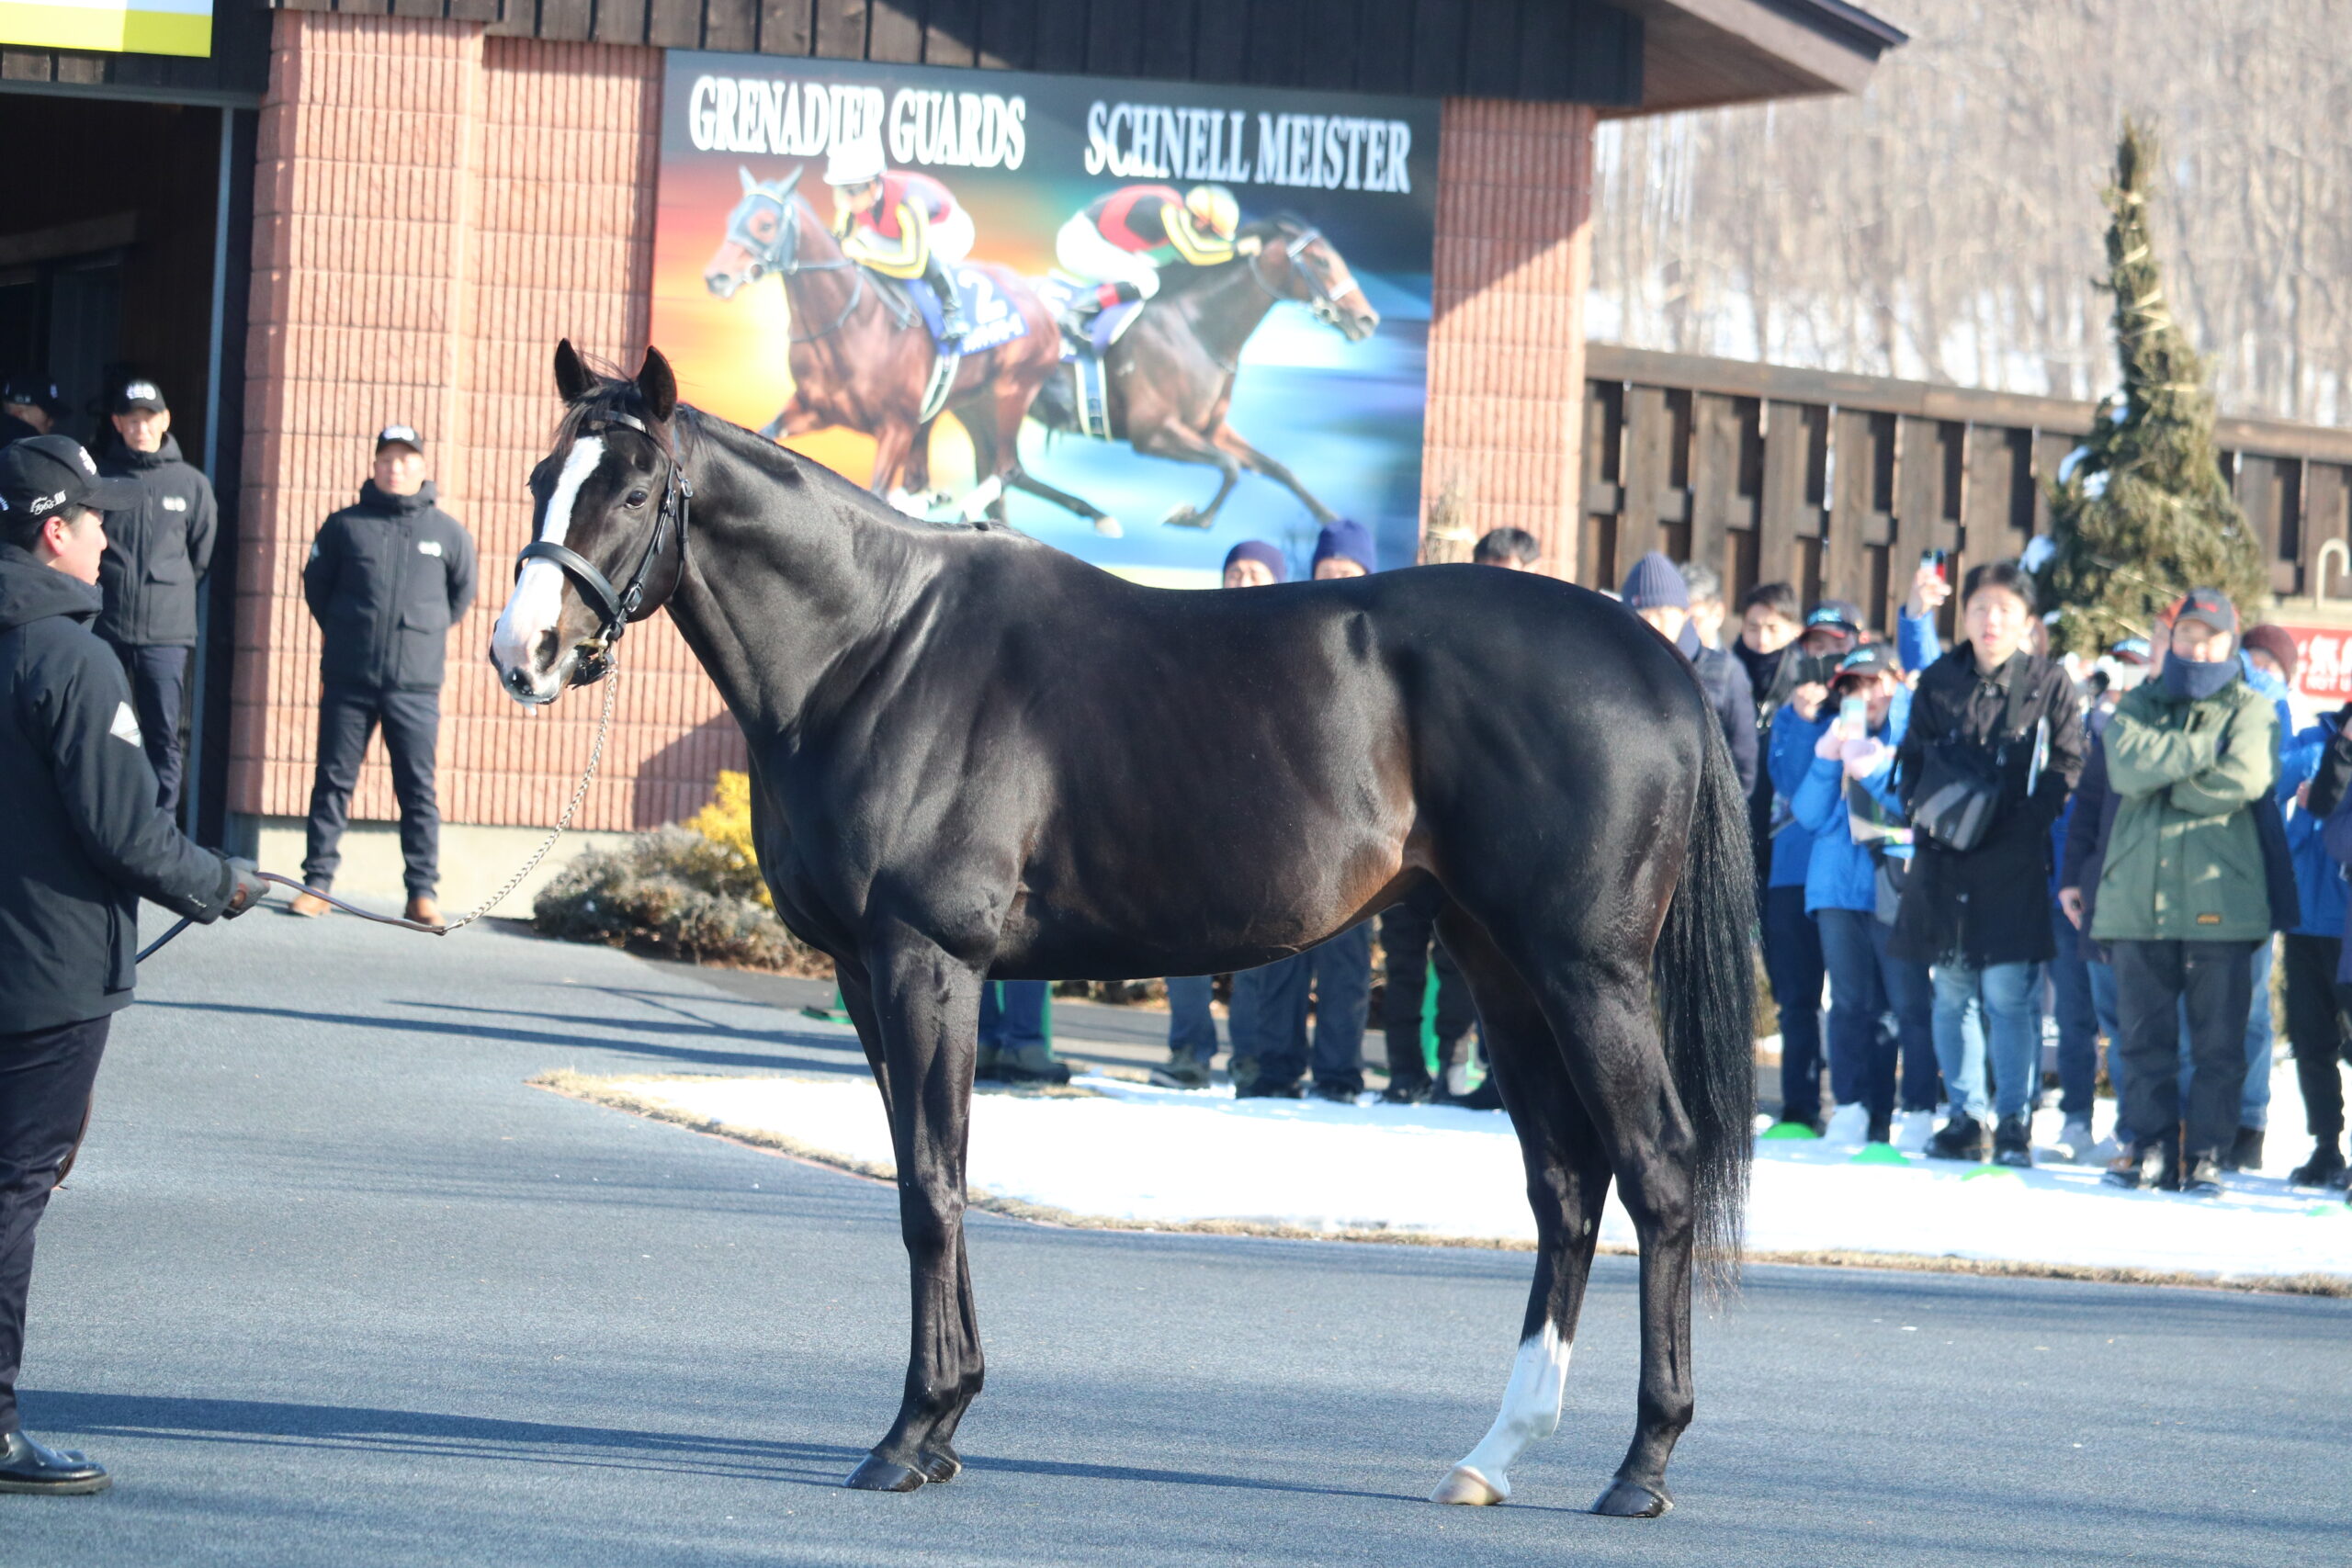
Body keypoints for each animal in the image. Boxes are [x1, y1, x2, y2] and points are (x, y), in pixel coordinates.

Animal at [489, 342, 1755, 1521]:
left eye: (636, 491)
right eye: (545, 477)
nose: (521, 654)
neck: (875, 652)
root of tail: (1657, 658)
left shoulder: (926, 962)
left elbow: (931, 1191)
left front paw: (909, 1434)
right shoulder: (861, 975)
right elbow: (926, 1173)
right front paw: (945, 1423)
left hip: (1585, 972)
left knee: (1656, 1169)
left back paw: (1641, 1465)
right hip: (1494, 964)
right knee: (1564, 1186)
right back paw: (1493, 1455)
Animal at [701, 168, 1070, 527]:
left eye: (765, 224)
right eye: (733, 217)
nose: (716, 277)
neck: (852, 326)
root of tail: (1042, 304)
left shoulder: (897, 428)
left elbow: (876, 493)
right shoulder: (812, 409)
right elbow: (765, 436)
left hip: (1012, 391)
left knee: (1008, 469)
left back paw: (963, 510)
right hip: (972, 407)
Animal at [1014, 217, 1381, 534]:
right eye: (1321, 261)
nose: (1368, 320)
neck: (1196, 329)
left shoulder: (1211, 430)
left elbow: (1279, 469)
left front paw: (1333, 520)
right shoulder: (1153, 434)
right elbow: (1230, 467)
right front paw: (1191, 517)